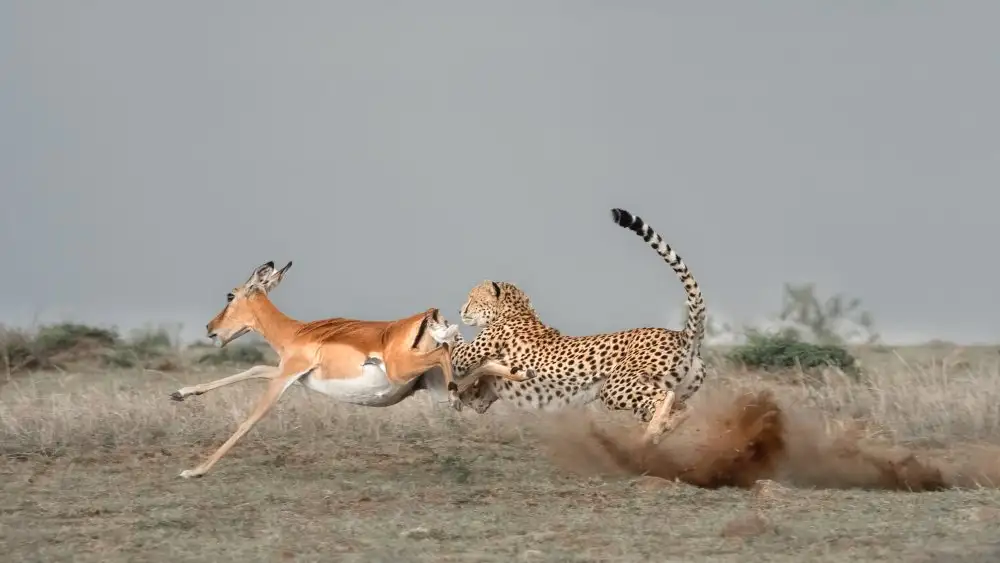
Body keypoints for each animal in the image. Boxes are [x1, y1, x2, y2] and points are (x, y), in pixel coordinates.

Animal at [449, 207, 707, 444]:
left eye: (472, 298)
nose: (461, 310)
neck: (516, 310)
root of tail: (679, 334)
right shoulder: (481, 395)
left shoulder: (466, 358)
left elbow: (455, 349)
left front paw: (445, 328)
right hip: (665, 391)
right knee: (685, 407)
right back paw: (659, 432)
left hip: (615, 387)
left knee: (665, 397)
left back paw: (649, 436)